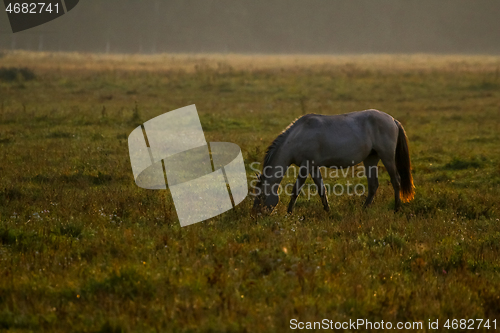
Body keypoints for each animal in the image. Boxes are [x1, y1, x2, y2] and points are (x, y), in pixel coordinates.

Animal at [254, 109, 414, 213]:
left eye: (261, 196)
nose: (255, 215)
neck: (297, 137)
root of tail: (393, 120)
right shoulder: (313, 167)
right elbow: (321, 189)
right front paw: (328, 211)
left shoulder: (306, 166)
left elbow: (296, 190)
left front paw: (289, 213)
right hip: (371, 159)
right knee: (373, 185)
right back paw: (364, 209)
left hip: (387, 157)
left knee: (396, 181)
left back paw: (396, 209)